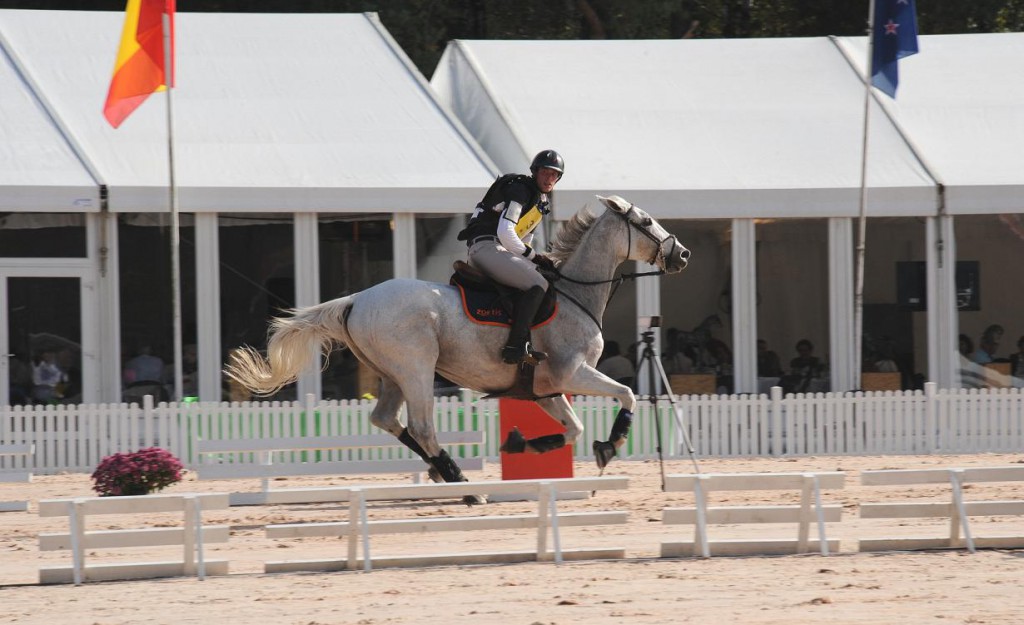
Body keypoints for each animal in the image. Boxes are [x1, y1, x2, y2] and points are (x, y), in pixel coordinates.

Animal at [224, 194, 688, 502]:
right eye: (647, 221)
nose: (682, 255)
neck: (576, 293)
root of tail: (357, 299)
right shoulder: (572, 373)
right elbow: (627, 394)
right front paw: (610, 445)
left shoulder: (547, 389)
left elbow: (571, 429)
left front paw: (522, 445)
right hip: (416, 370)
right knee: (422, 427)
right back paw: (462, 483)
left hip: (392, 375)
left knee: (387, 419)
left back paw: (442, 472)